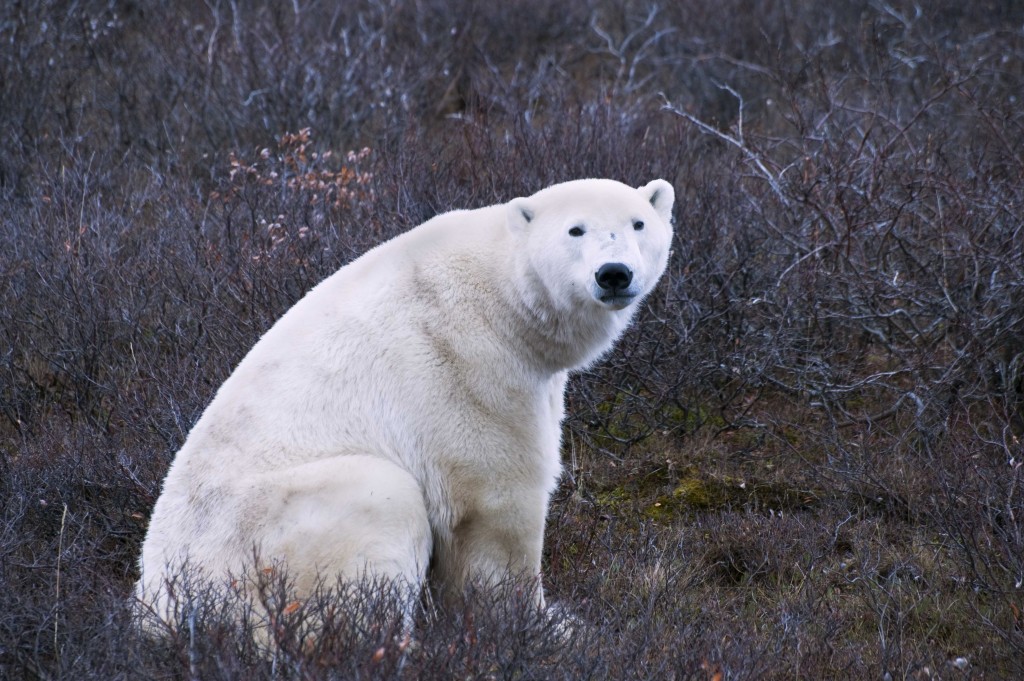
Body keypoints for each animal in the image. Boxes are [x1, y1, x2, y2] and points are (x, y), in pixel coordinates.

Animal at [135, 177, 675, 631]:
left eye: (638, 223)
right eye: (575, 229)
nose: (614, 273)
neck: (500, 294)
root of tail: (157, 612)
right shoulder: (468, 367)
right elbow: (498, 503)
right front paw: (548, 626)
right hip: (266, 538)